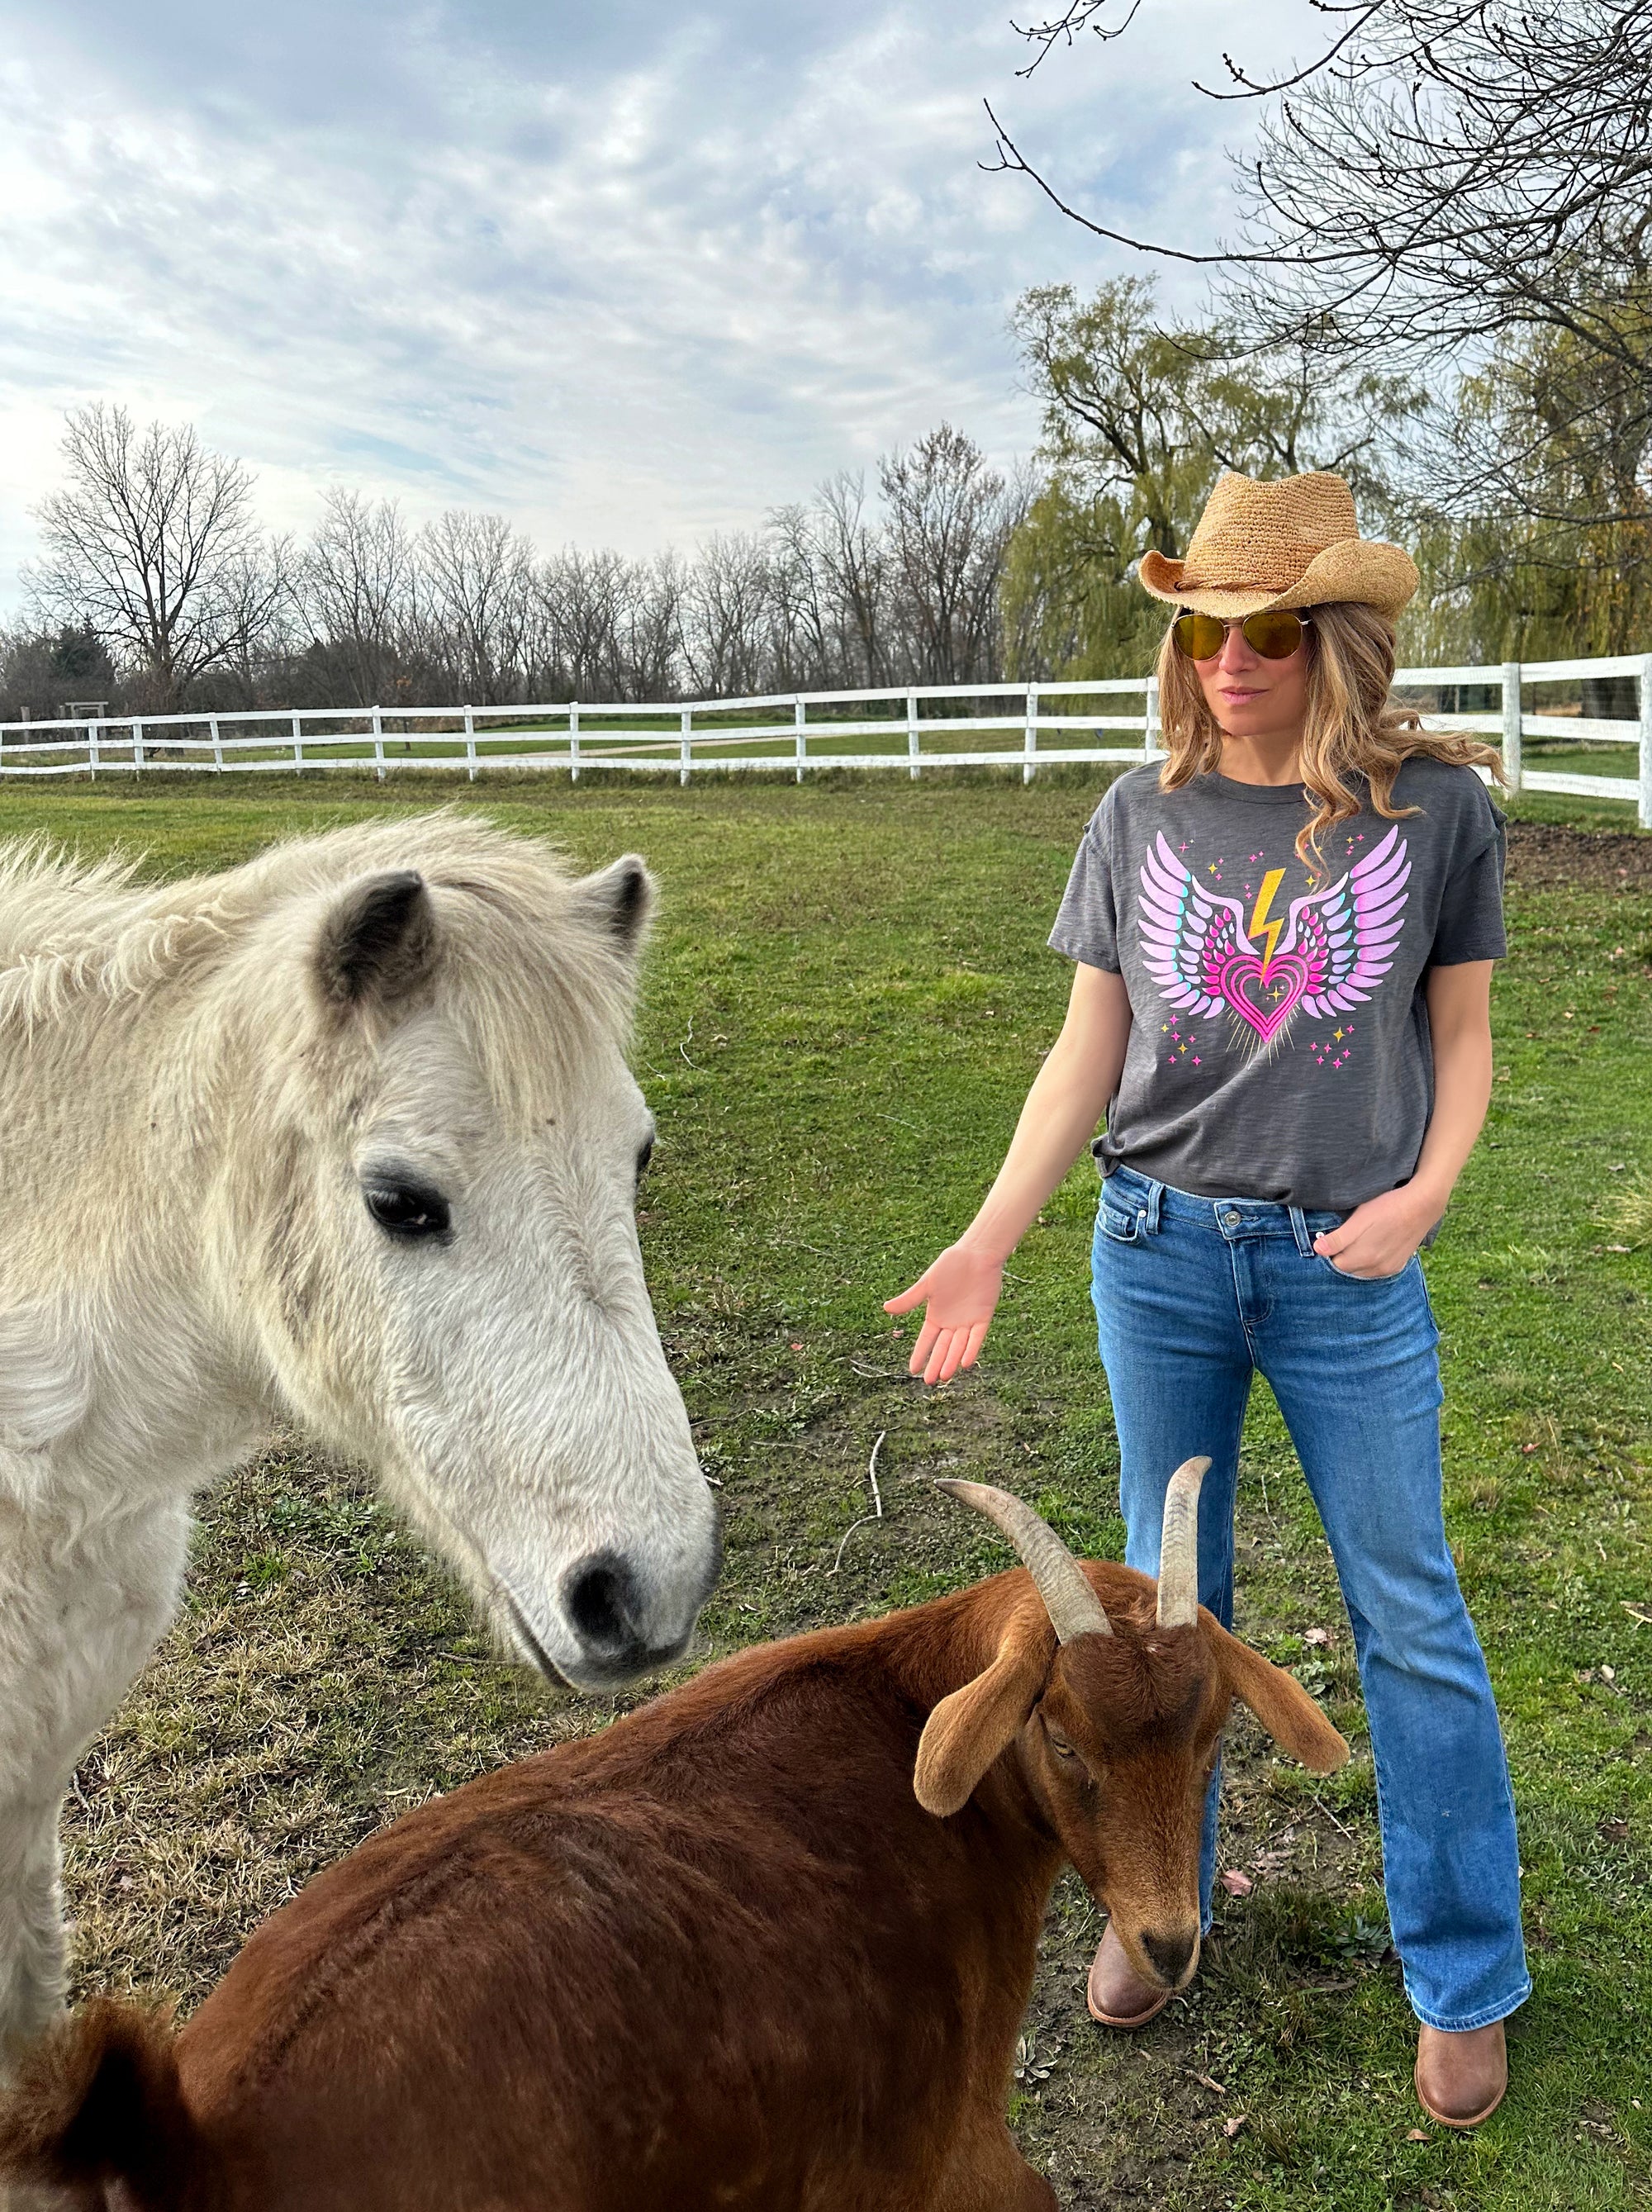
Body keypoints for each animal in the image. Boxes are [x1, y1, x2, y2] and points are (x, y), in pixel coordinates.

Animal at [2, 1469, 1344, 2212]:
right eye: (1061, 1735)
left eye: (1216, 1729)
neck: (898, 1713)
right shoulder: (935, 2162)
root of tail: (192, 2137)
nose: (1168, 1942)